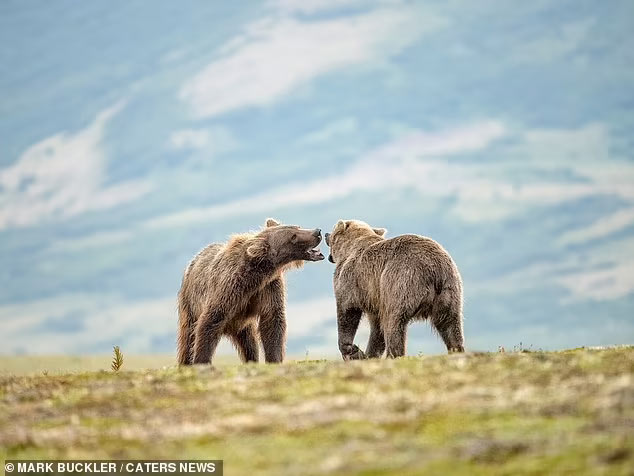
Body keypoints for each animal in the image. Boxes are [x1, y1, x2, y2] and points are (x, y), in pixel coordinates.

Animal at [178, 218, 324, 366]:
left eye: (297, 227)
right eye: (293, 237)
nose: (317, 232)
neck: (255, 276)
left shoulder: (268, 288)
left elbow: (273, 323)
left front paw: (274, 359)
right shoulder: (229, 288)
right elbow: (210, 321)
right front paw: (201, 361)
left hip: (242, 324)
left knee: (249, 343)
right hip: (190, 303)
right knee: (188, 337)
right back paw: (185, 361)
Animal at [324, 221, 462, 358]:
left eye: (333, 230)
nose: (325, 234)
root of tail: (435, 269)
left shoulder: (351, 280)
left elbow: (347, 310)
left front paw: (353, 351)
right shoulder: (375, 297)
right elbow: (377, 329)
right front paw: (369, 354)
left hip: (401, 282)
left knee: (394, 323)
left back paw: (393, 355)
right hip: (449, 292)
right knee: (450, 324)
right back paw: (456, 349)